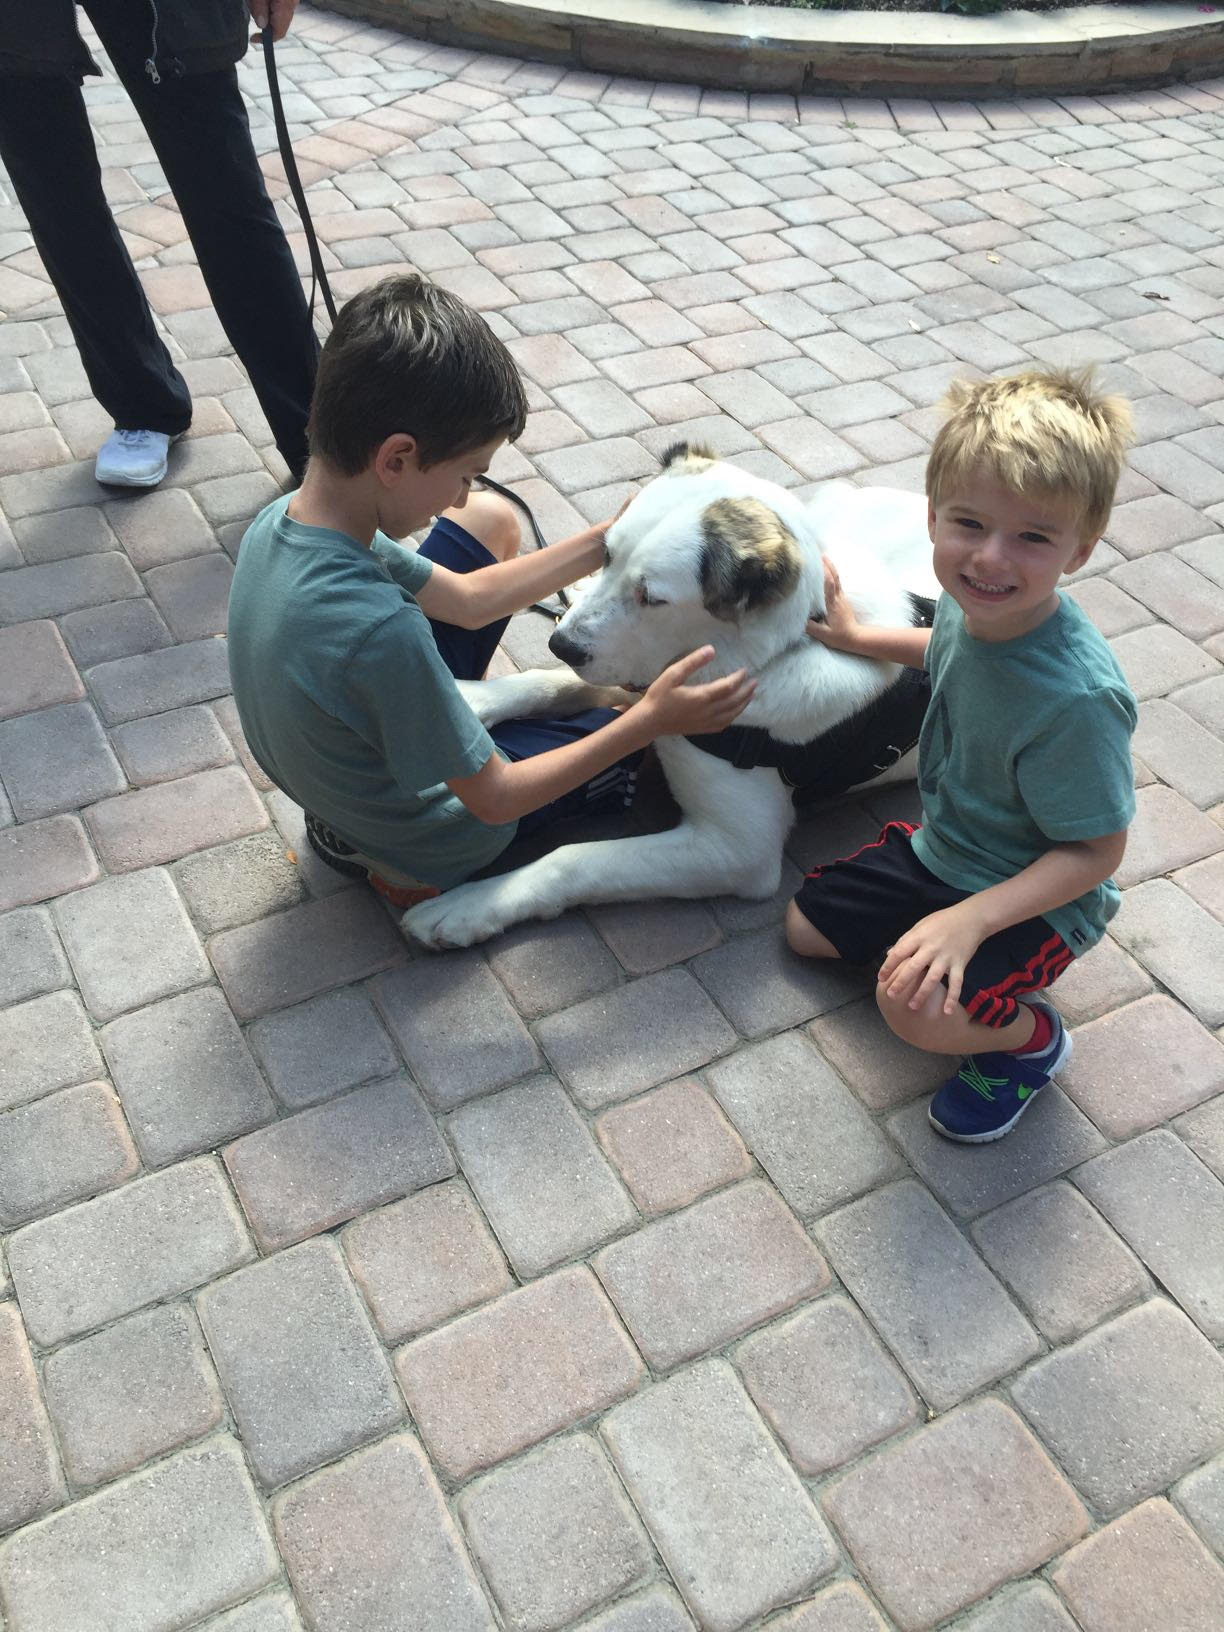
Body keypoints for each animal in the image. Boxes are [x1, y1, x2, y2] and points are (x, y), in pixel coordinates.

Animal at [408, 447, 933, 953]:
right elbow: (551, 683)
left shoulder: (736, 851)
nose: (562, 645)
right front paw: (471, 699)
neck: (772, 654)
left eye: (653, 597)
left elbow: (575, 859)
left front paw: (469, 907)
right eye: (606, 554)